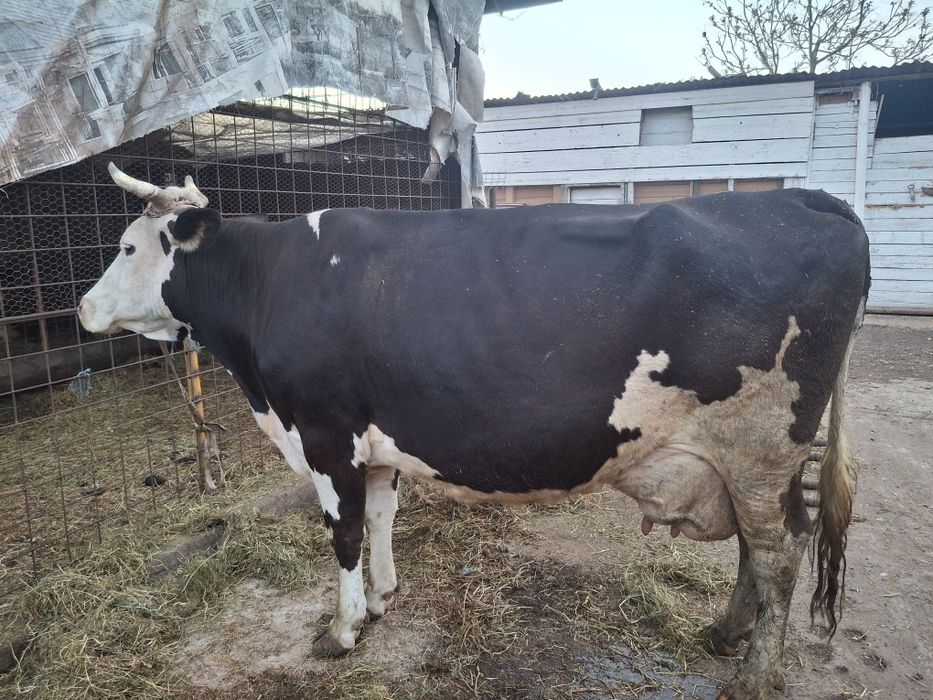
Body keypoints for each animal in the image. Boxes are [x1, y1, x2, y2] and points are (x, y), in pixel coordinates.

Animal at [79, 163, 870, 700]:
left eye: (126, 247)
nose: (82, 309)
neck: (268, 285)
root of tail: (806, 198)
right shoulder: (375, 443)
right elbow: (383, 518)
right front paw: (382, 599)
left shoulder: (326, 434)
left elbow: (343, 534)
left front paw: (341, 630)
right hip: (745, 459)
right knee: (755, 550)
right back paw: (723, 633)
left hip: (761, 444)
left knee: (779, 553)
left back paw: (751, 675)